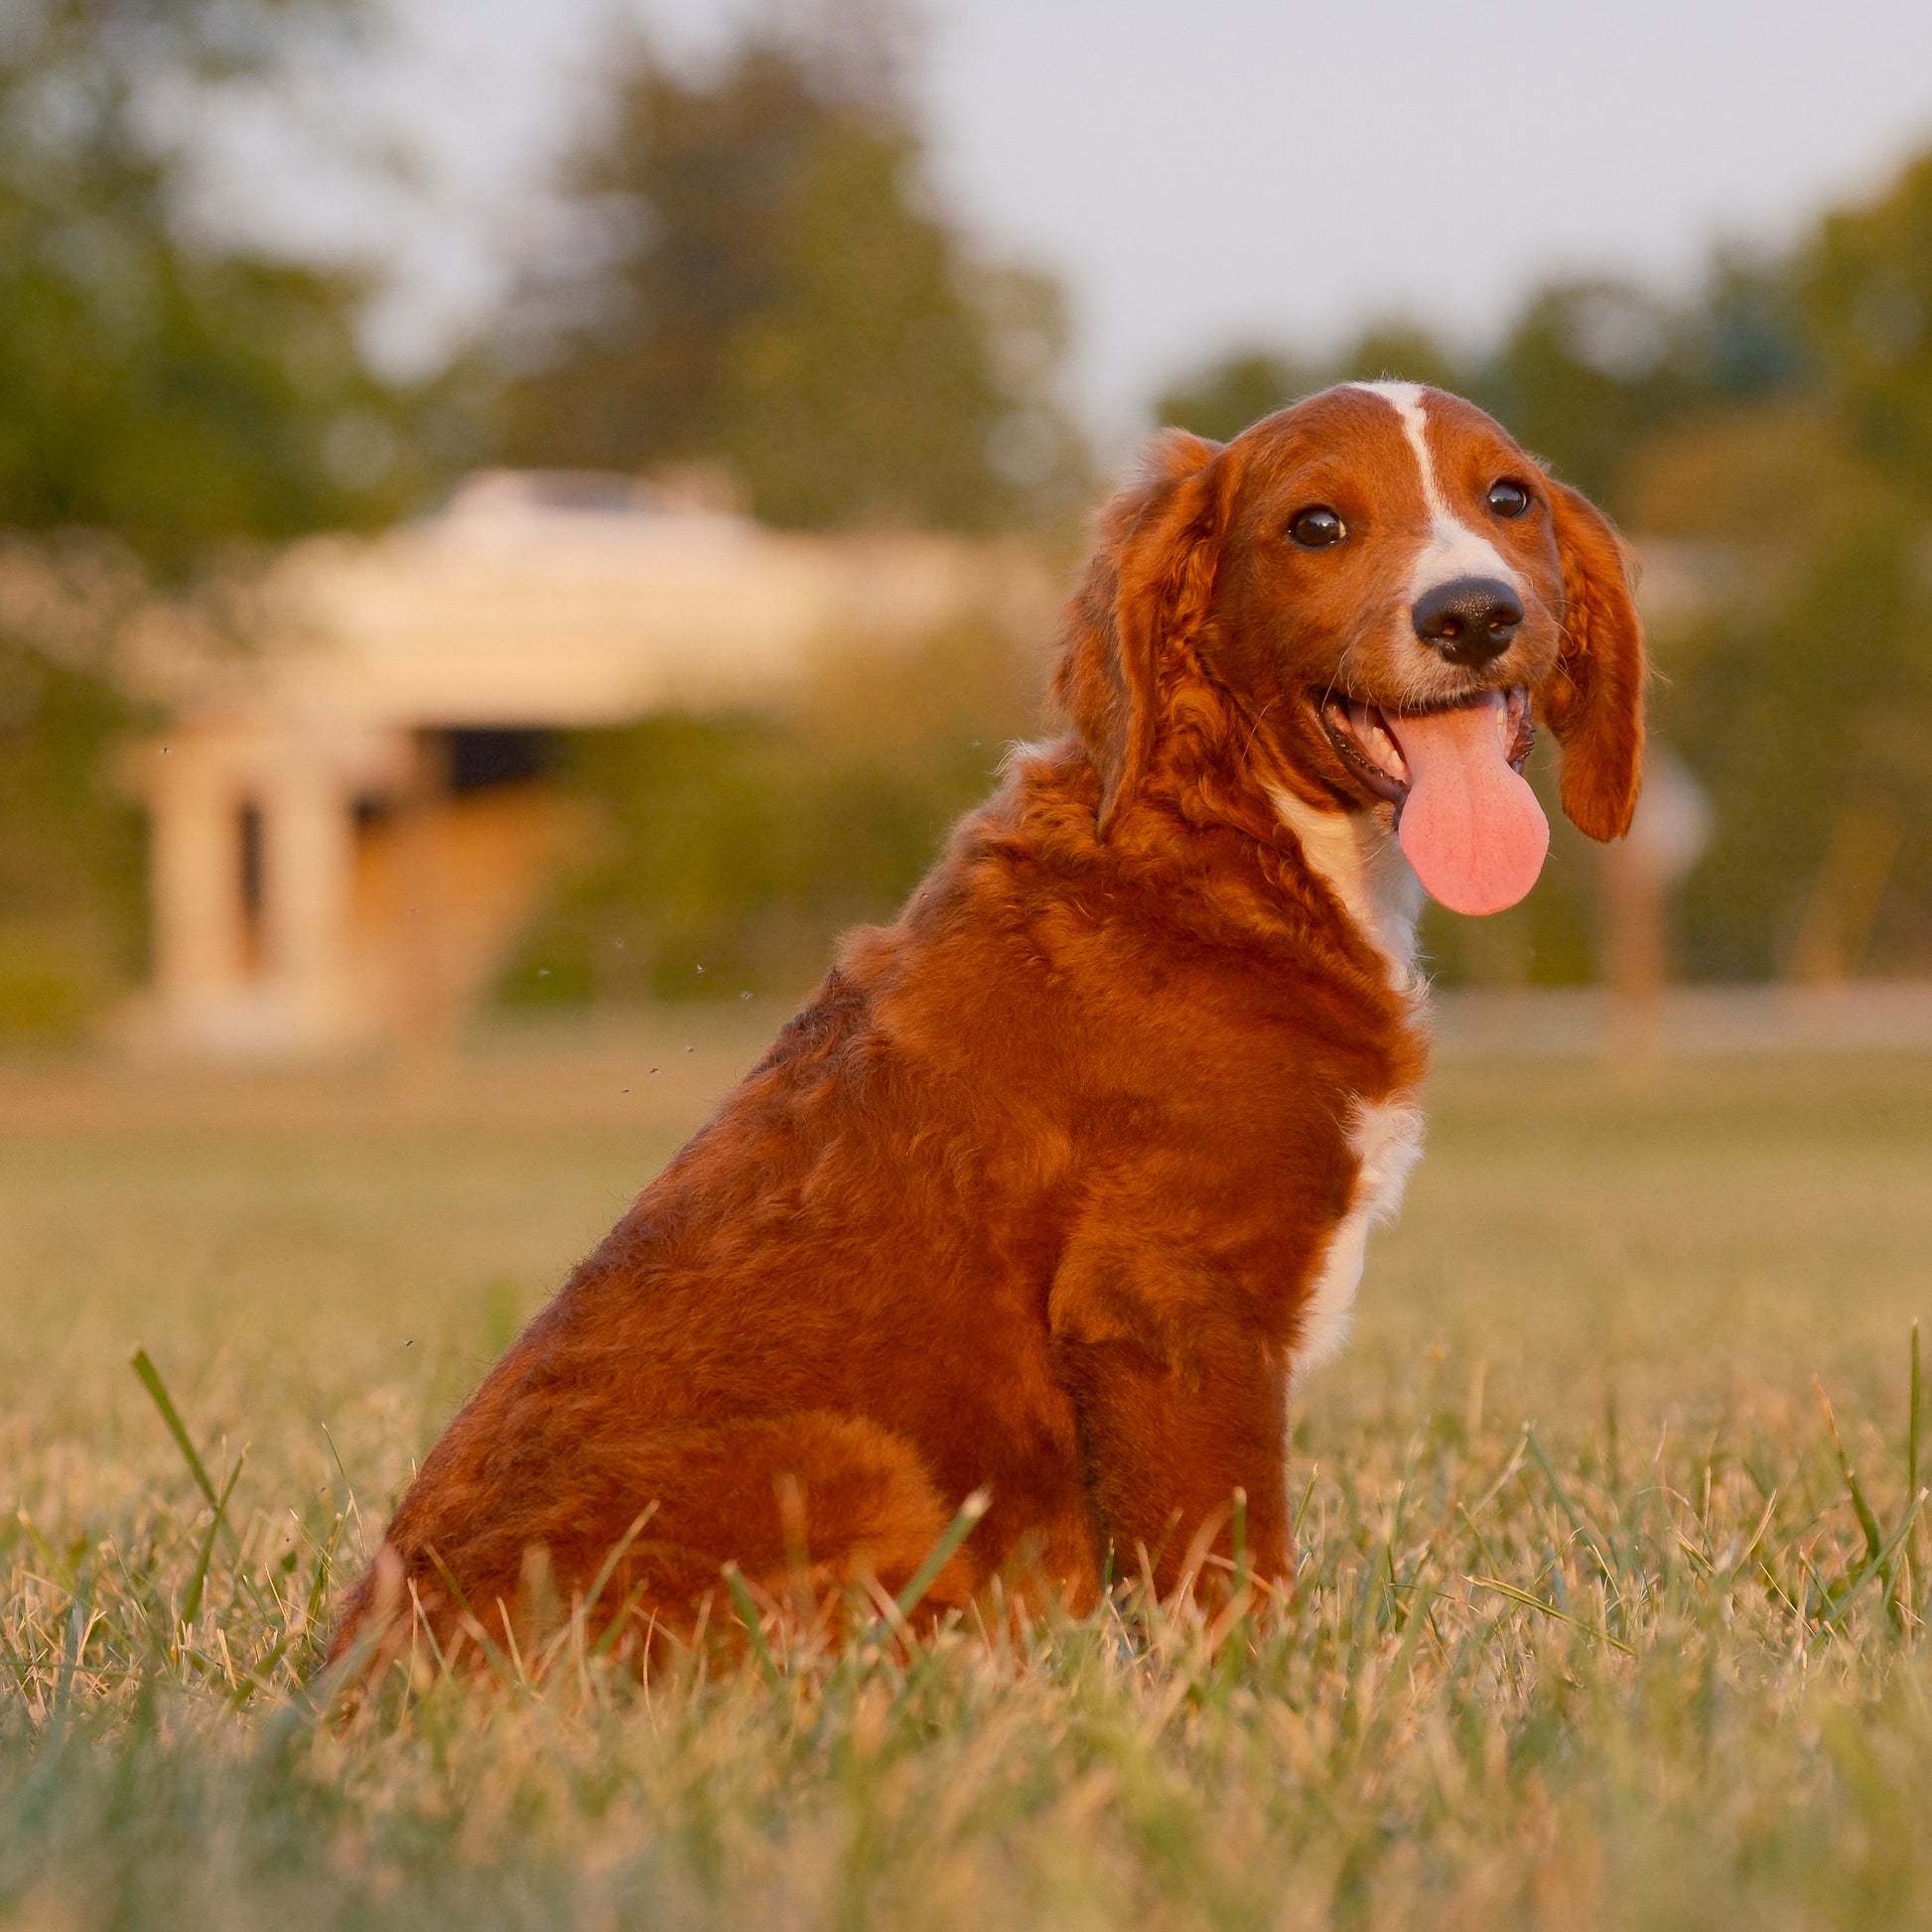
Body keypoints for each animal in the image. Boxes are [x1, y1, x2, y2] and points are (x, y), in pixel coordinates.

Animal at [328, 384, 1645, 1669]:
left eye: (1509, 499)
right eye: (1314, 525)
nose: (1470, 615)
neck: (1233, 839)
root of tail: (356, 1685)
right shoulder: (1161, 1296)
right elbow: (1228, 1564)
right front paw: (1259, 1699)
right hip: (853, 1463)